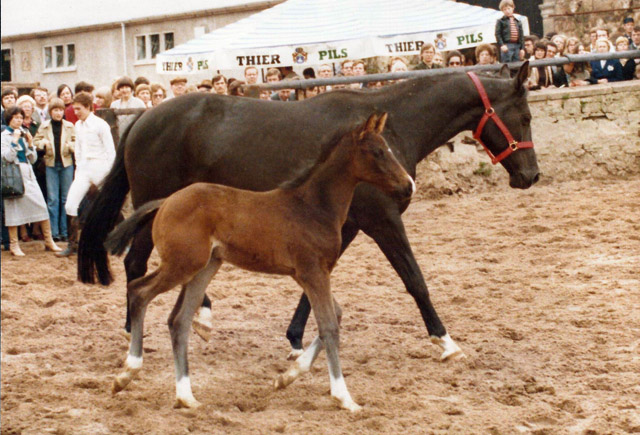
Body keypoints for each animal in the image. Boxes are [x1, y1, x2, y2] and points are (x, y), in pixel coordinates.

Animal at [105, 112, 416, 412]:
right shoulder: (313, 272)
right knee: (139, 291)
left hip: (205, 267)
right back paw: (128, 372)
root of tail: (166, 201)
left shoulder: (307, 274)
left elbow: (335, 315)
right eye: (377, 152)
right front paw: (344, 398)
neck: (312, 207)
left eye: (388, 149)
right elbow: (329, 326)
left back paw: (185, 397)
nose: (408, 185)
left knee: (179, 321)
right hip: (182, 264)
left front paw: (286, 377)